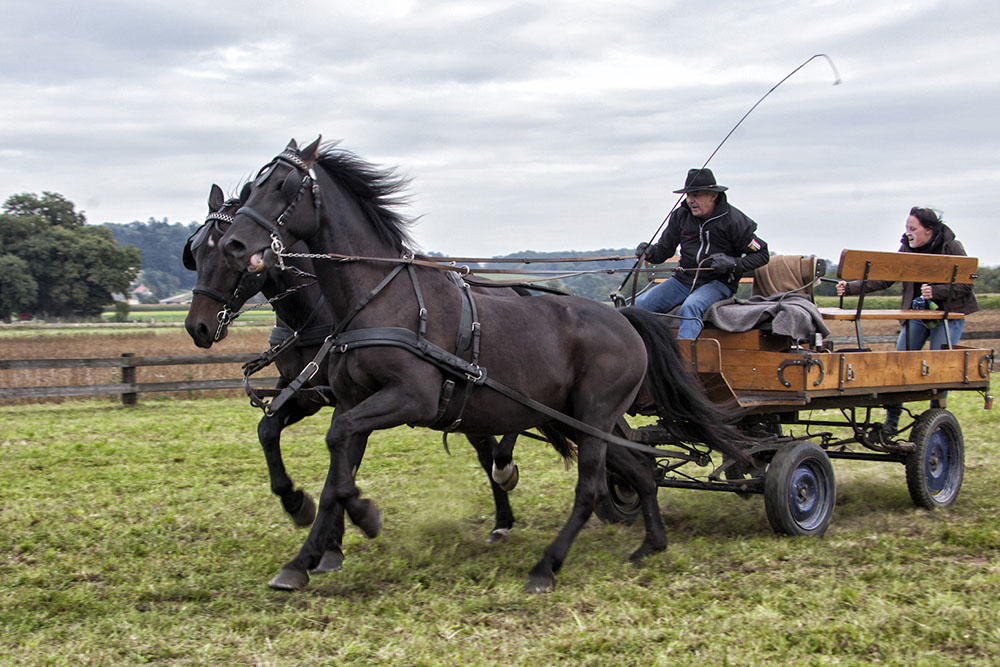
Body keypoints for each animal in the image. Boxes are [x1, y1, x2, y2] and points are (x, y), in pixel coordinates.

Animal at [217, 138, 752, 592]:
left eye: (281, 186)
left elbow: (338, 458)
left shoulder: (410, 399)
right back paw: (651, 544)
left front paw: (364, 515)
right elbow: (334, 476)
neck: (381, 298)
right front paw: (302, 559)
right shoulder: (353, 404)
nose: (234, 246)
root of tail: (624, 317)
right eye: (252, 188)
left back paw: (546, 567)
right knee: (640, 470)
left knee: (590, 487)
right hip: (581, 421)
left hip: (595, 417)